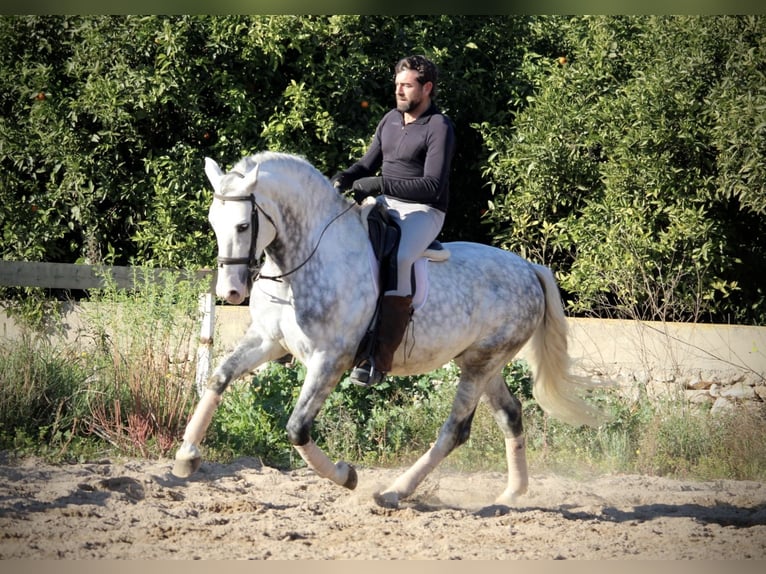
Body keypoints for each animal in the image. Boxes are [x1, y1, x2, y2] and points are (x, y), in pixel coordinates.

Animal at [173, 151, 604, 507]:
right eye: (213, 222)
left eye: (244, 225)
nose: (230, 291)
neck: (304, 260)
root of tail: (528, 268)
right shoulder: (269, 340)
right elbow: (219, 377)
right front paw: (186, 457)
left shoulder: (330, 360)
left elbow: (297, 428)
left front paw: (346, 475)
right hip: (482, 362)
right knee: (510, 414)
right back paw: (512, 494)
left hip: (481, 363)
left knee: (455, 430)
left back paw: (395, 492)